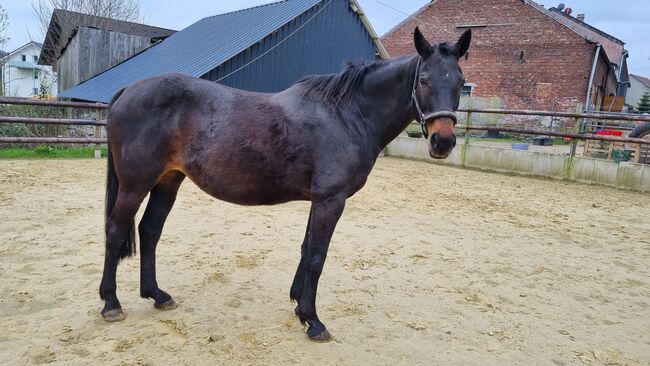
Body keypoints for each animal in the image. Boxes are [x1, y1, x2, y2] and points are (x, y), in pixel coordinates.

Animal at [98, 27, 468, 342]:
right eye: (424, 79)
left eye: (461, 81)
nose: (443, 142)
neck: (346, 115)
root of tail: (129, 90)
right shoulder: (331, 200)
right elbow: (318, 256)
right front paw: (314, 321)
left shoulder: (319, 200)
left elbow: (306, 249)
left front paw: (298, 306)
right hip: (134, 185)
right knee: (116, 230)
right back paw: (111, 303)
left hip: (167, 181)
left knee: (149, 230)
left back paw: (157, 295)